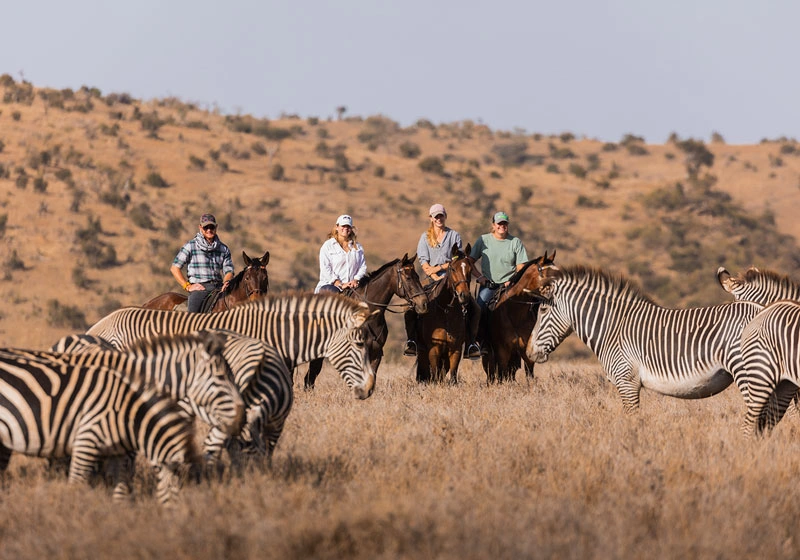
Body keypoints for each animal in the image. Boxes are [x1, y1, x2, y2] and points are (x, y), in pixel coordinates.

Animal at [482, 251, 557, 384]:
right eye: (547, 273)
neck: (515, 313)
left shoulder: (525, 350)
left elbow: (529, 374)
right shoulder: (502, 351)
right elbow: (501, 374)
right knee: (491, 373)